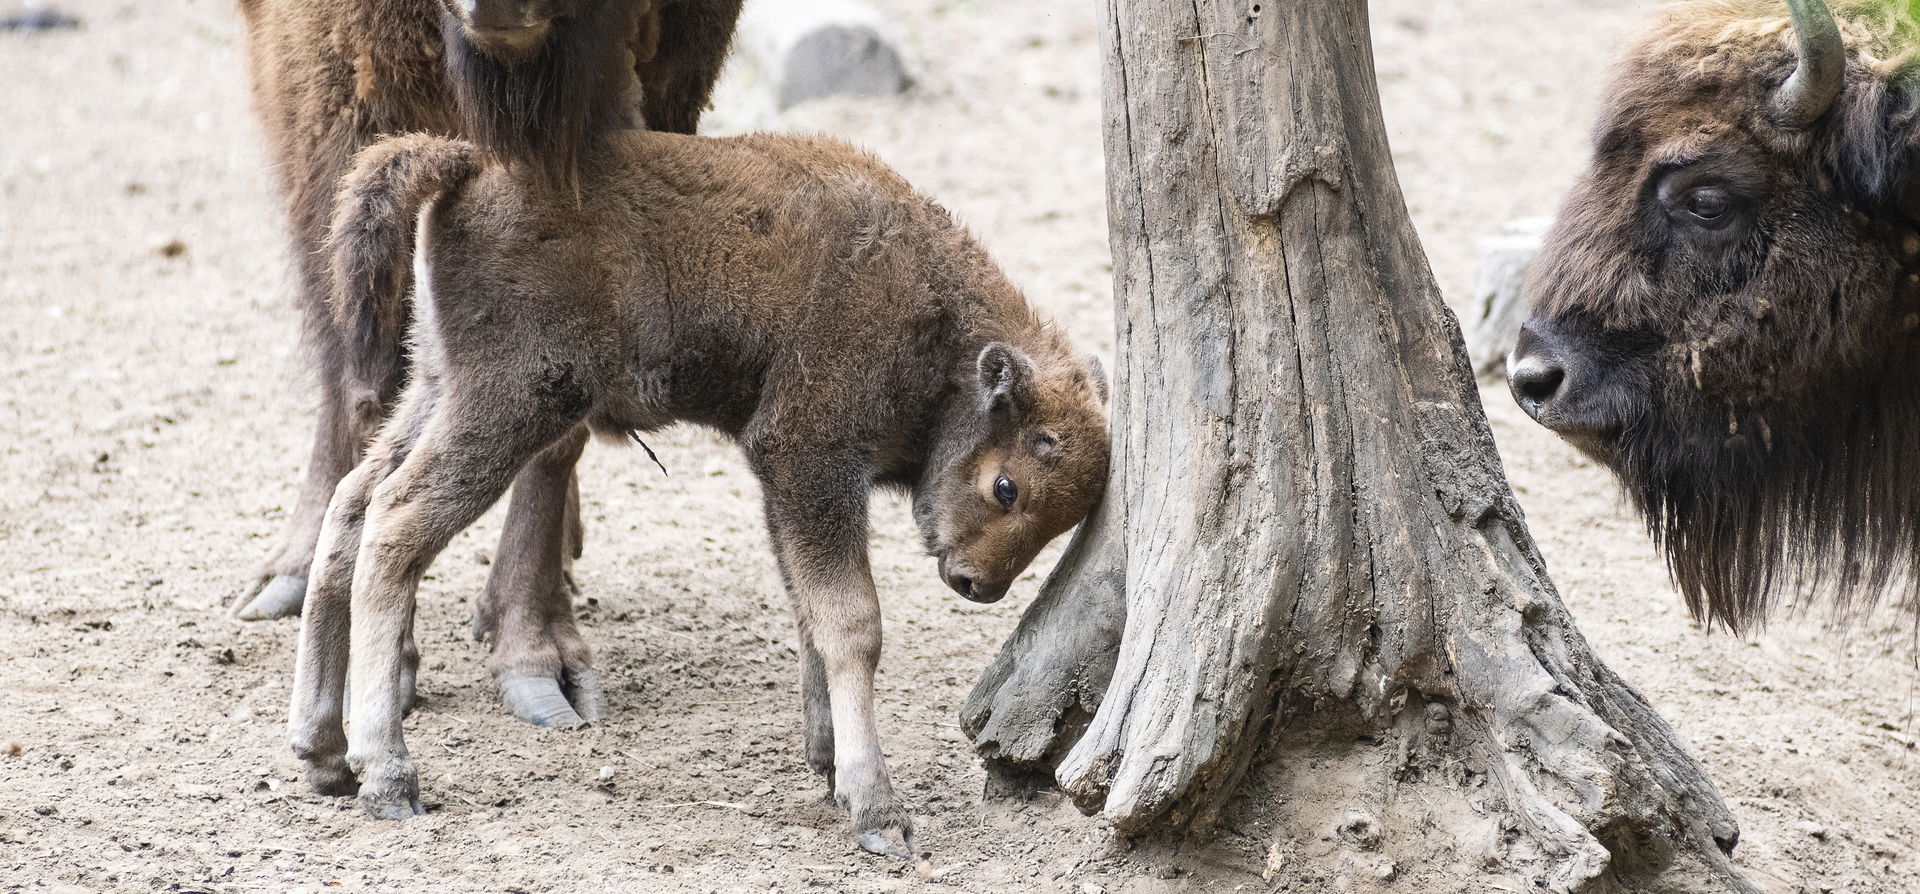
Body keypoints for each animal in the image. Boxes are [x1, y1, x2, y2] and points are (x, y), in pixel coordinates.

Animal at [238, 0, 741, 725]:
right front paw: (385, 668)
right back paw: (290, 578)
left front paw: (541, 663)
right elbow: (371, 370)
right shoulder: (339, 74)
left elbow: (555, 416)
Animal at [291, 127, 1121, 851]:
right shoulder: (810, 462)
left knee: (351, 505)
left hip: (436, 387)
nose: (977, 584)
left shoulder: (787, 487)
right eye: (1007, 486)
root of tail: (475, 164)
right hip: (509, 406)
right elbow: (851, 621)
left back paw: (321, 751)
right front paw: (878, 812)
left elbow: (809, 613)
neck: (938, 319)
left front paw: (828, 763)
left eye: (1061, 518)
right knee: (394, 526)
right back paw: (388, 777)